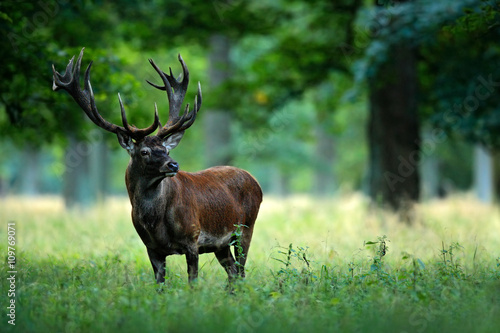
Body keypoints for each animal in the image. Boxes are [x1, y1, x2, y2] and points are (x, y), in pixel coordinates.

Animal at [52, 48, 264, 284]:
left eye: (166, 149)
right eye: (144, 151)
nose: (173, 164)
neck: (155, 223)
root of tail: (255, 182)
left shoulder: (192, 238)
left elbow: (192, 283)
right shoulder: (151, 248)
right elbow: (160, 284)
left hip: (245, 228)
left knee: (241, 272)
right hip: (221, 244)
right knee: (233, 274)